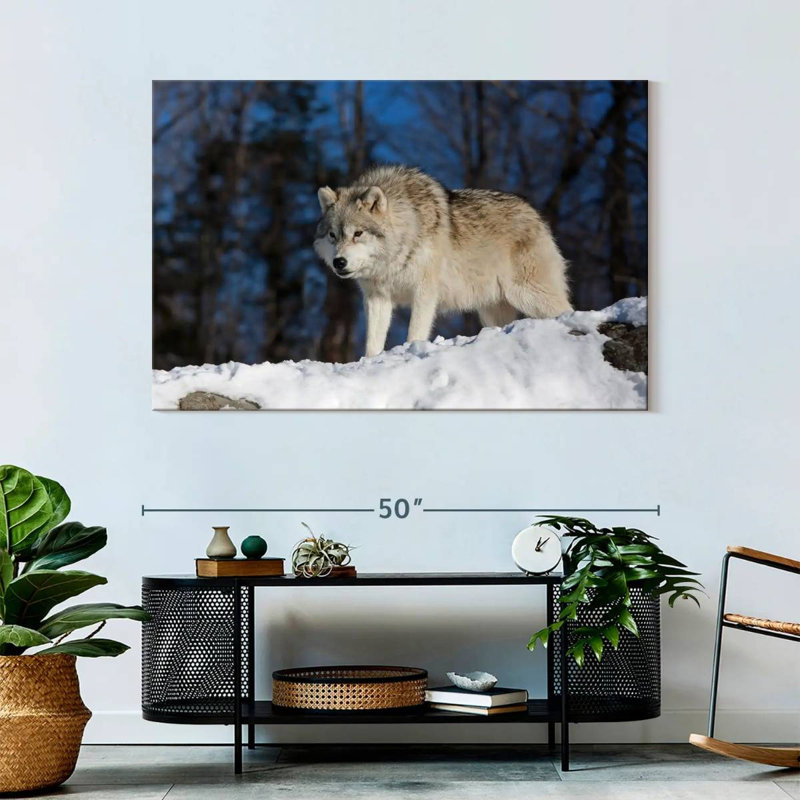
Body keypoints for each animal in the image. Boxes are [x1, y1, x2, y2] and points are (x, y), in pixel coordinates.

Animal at [313, 165, 572, 358]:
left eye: (358, 234)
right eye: (333, 235)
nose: (339, 262)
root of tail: (534, 213)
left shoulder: (424, 292)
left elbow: (415, 332)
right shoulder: (377, 298)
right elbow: (372, 343)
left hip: (529, 295)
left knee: (566, 309)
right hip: (492, 310)